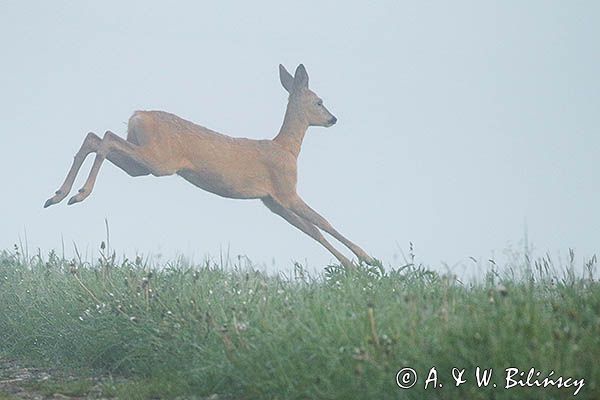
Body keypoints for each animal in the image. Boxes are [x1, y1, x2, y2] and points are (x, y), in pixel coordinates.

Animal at [44, 65, 376, 268]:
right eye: (320, 101)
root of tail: (137, 115)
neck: (287, 150)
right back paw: (78, 194)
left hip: (142, 165)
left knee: (95, 137)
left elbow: (313, 231)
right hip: (159, 159)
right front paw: (368, 260)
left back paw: (57, 196)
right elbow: (325, 222)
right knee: (106, 139)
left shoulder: (272, 202)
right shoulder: (286, 190)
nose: (333, 118)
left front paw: (351, 267)